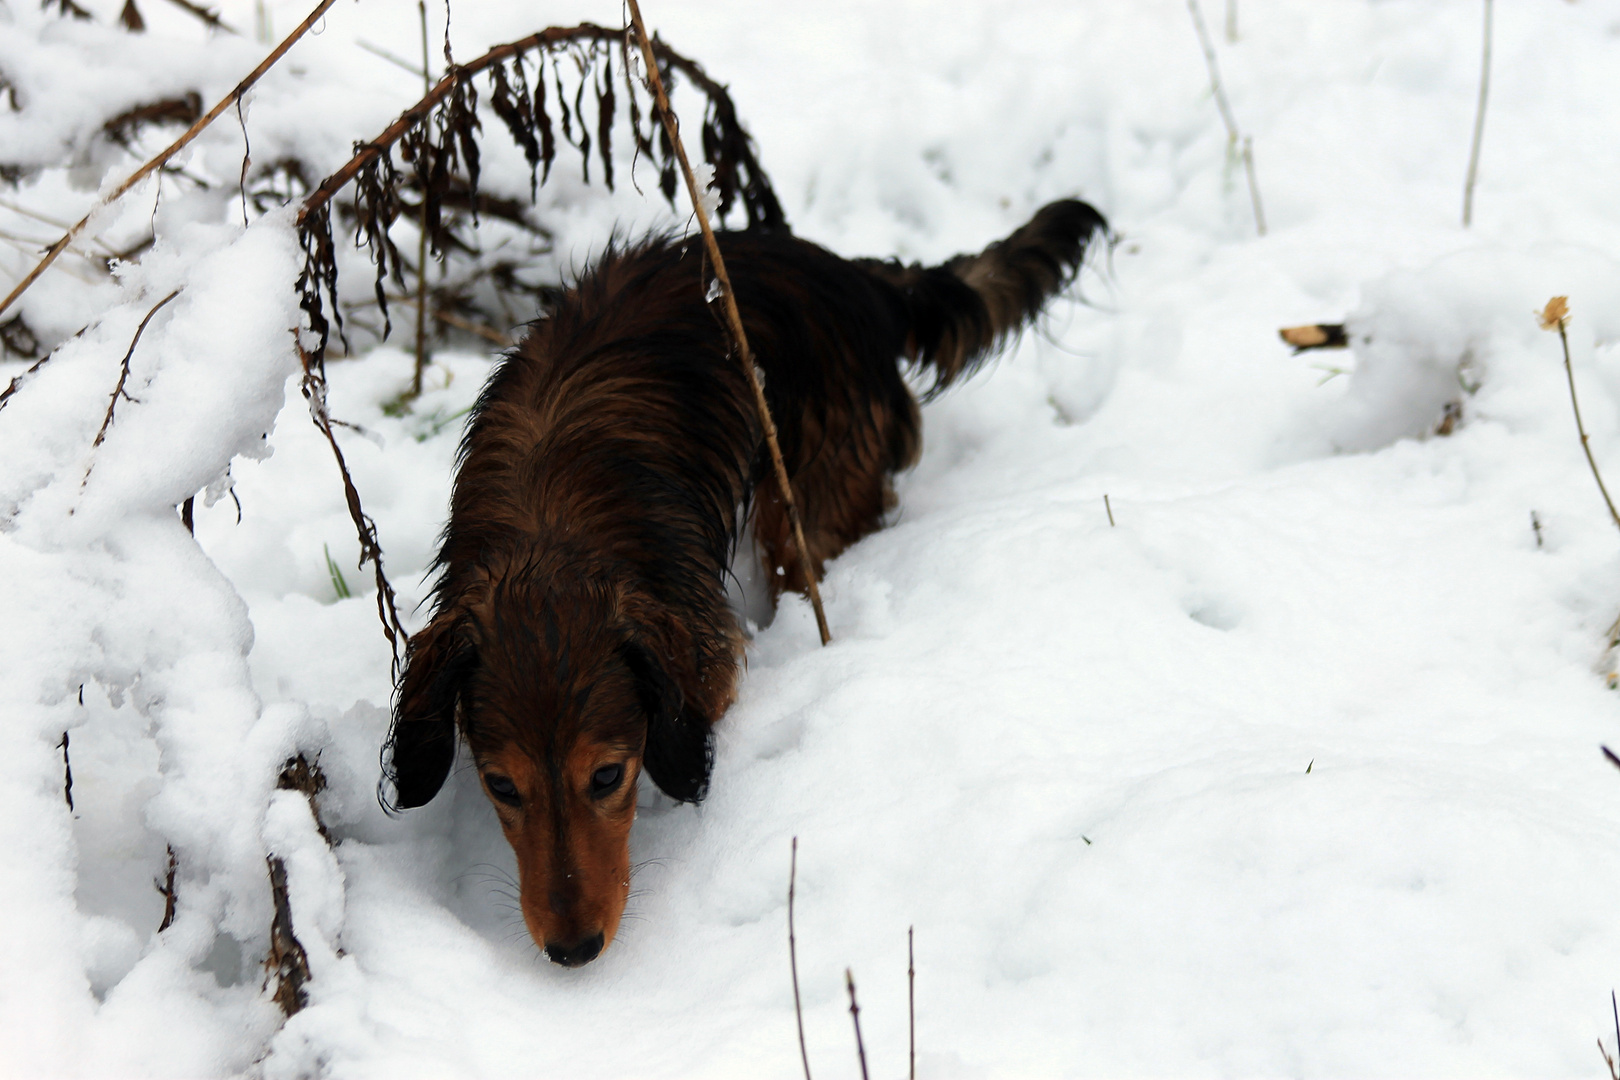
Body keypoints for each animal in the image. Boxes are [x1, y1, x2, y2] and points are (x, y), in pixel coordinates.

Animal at [385, 198, 1108, 965]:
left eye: (607, 776)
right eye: (501, 786)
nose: (574, 951)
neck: (549, 538)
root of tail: (855, 275)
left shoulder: (707, 657)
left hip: (805, 505)